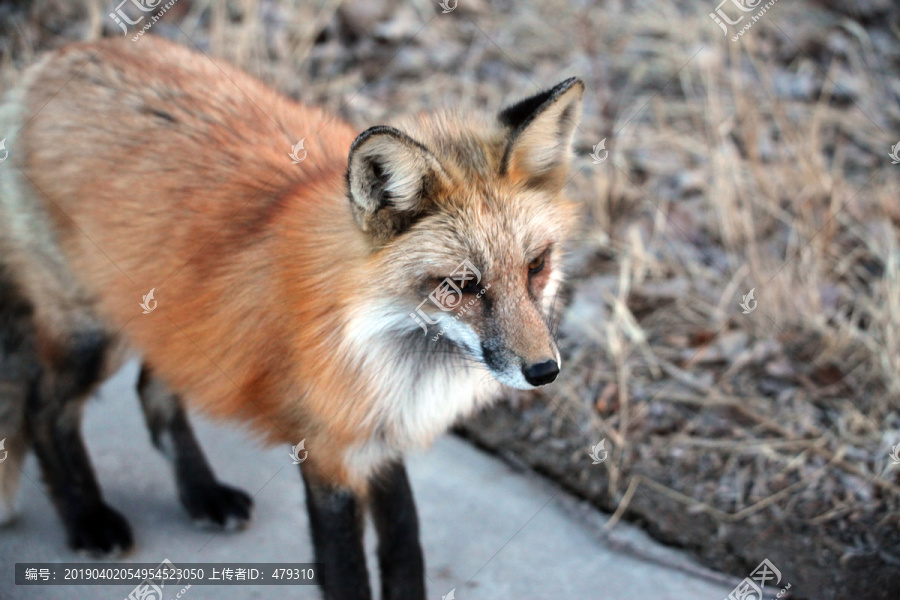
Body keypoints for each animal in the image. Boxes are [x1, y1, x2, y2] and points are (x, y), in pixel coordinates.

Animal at [0, 36, 584, 600]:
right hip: (92, 330)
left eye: (536, 265)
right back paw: (87, 519)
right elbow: (347, 571)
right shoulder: (327, 451)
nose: (544, 371)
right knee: (43, 406)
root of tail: (51, 61)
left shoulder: (377, 435)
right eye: (460, 286)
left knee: (150, 390)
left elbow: (405, 546)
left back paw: (201, 493)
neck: (384, 339)